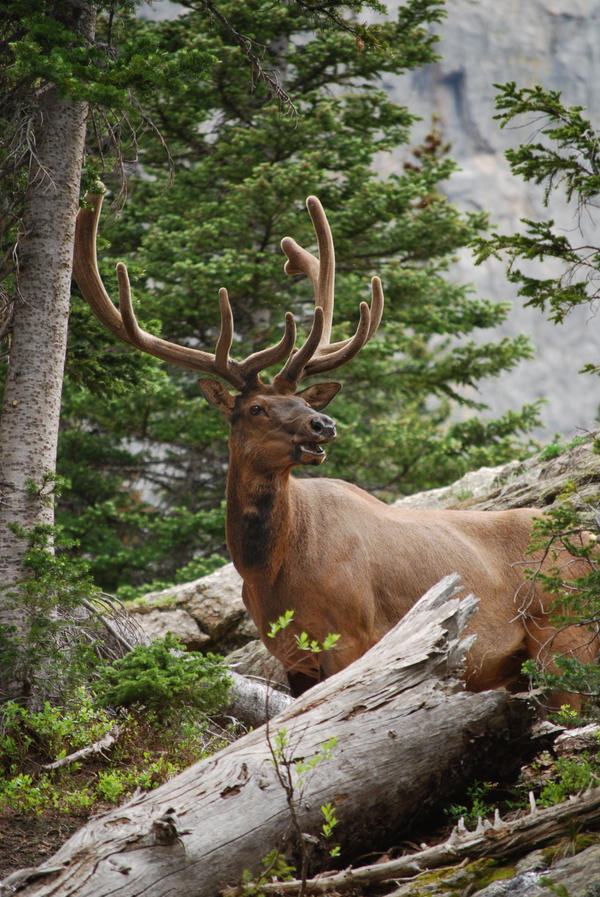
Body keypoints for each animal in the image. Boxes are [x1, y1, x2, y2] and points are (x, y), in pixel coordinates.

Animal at [74, 192, 596, 704]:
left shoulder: (349, 637)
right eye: (257, 408)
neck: (269, 572)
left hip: (565, 638)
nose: (323, 424)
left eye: (303, 400)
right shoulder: (291, 657)